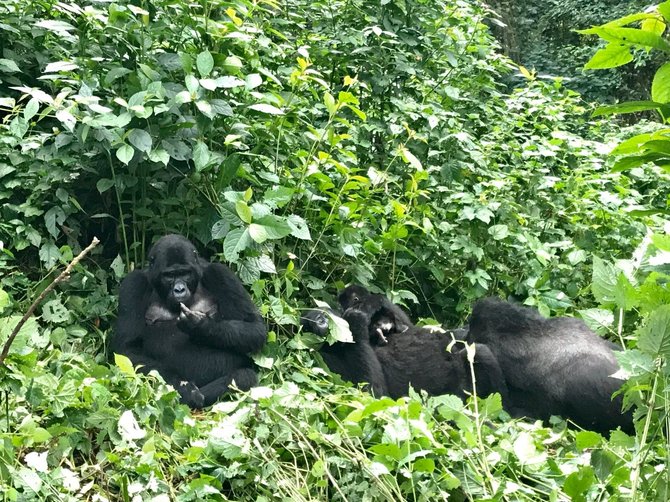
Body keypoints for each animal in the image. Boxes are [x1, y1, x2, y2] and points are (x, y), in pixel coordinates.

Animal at [111, 235, 266, 408]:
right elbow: (129, 350)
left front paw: (200, 326)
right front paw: (183, 388)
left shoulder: (221, 274)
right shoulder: (133, 284)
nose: (179, 289)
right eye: (169, 276)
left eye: (185, 273)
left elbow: (254, 328)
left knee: (244, 377)